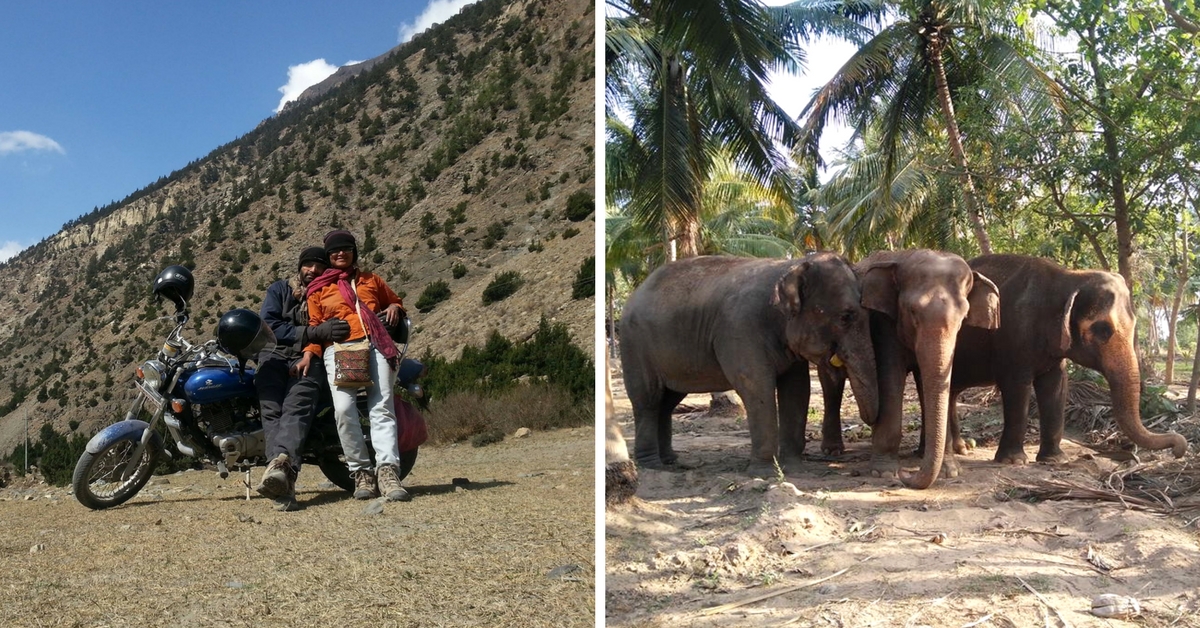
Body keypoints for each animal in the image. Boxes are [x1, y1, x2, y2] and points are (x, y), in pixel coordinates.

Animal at [619, 253, 883, 475]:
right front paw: (764, 473)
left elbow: (797, 389)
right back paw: (652, 465)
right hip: (635, 345)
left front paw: (794, 468)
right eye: (846, 317)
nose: (868, 425)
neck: (790, 264)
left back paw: (670, 460)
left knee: (668, 401)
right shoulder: (740, 329)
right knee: (648, 400)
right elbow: (756, 387)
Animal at [816, 248, 1003, 489]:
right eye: (913, 312)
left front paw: (949, 471)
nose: (905, 474)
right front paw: (884, 473)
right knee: (832, 384)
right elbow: (890, 377)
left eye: (963, 316)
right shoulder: (883, 323)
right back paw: (833, 450)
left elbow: (929, 380)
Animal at [945, 253, 1190, 463]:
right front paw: (1013, 461)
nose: (1178, 450)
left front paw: (1056, 460)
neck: (1069, 277)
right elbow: (1017, 385)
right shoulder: (1013, 333)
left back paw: (960, 449)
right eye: (1103, 330)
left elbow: (1056, 385)